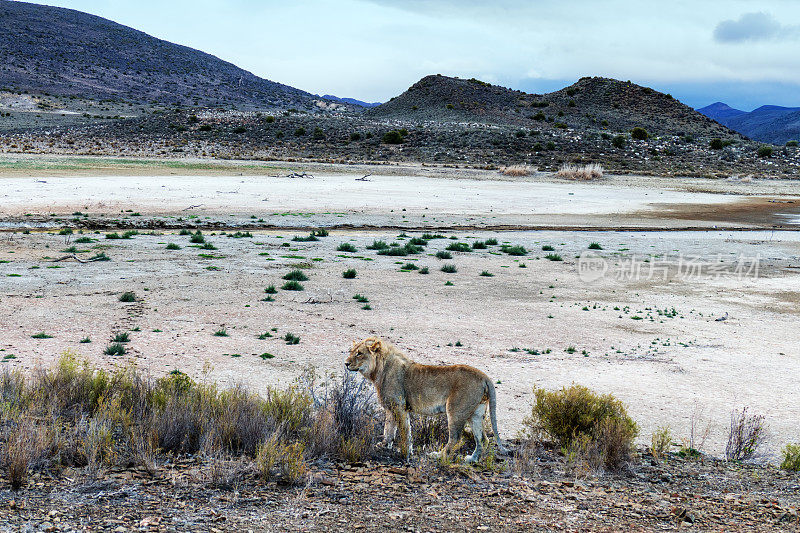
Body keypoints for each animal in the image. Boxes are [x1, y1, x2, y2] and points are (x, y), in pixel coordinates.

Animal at [342, 336, 506, 462]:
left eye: (359, 353)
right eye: (351, 351)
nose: (346, 363)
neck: (378, 370)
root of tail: (484, 376)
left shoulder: (399, 407)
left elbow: (404, 432)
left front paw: (406, 453)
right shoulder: (391, 407)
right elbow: (388, 429)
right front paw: (383, 445)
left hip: (456, 410)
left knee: (455, 438)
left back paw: (439, 456)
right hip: (476, 413)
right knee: (483, 439)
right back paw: (472, 459)